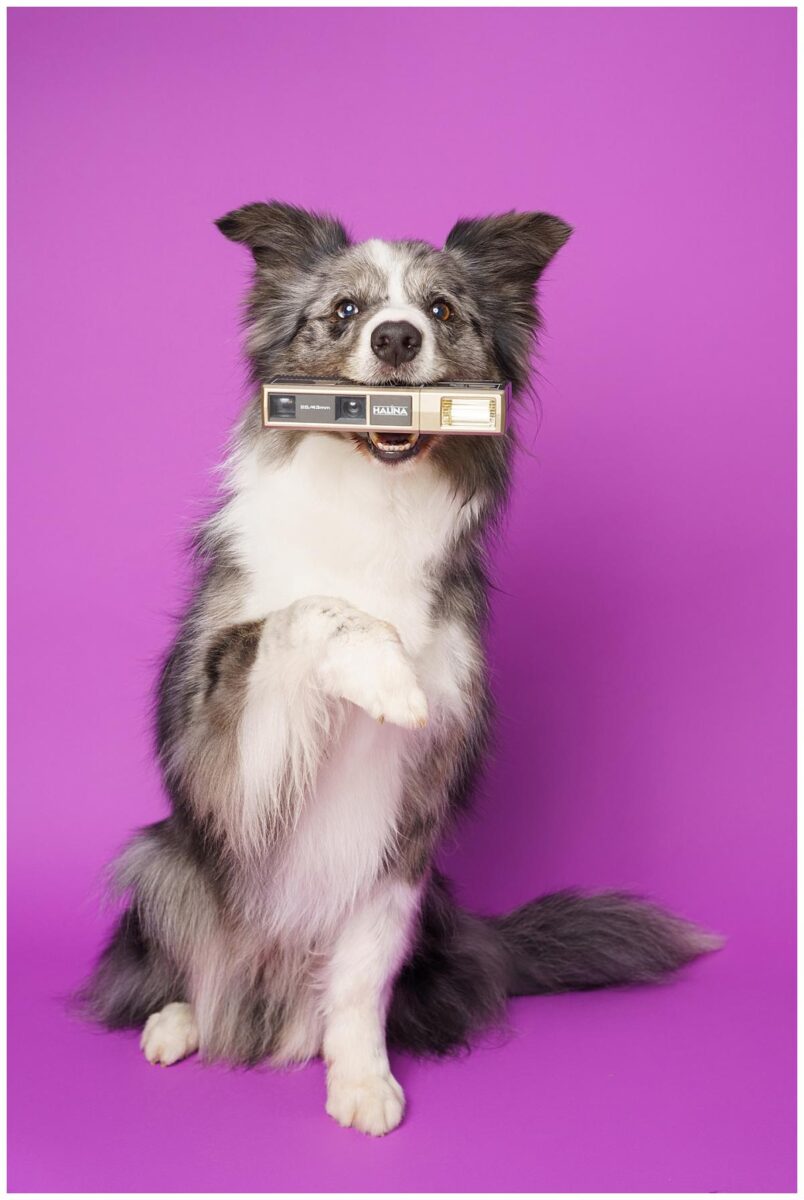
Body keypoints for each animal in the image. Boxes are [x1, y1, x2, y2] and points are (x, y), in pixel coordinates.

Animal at [81, 204, 720, 1132]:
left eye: (442, 310)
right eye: (346, 310)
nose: (394, 338)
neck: (371, 497)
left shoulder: (408, 827)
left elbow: (358, 978)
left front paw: (361, 1082)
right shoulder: (222, 748)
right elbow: (309, 610)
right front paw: (384, 677)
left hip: (434, 901)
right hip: (159, 859)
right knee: (203, 968)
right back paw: (181, 1020)